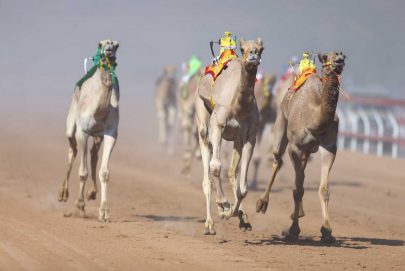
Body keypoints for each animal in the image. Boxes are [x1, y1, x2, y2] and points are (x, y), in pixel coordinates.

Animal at [58, 40, 120, 223]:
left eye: (117, 45)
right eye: (100, 44)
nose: (108, 50)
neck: (99, 110)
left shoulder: (111, 133)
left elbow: (105, 172)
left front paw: (104, 212)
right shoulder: (83, 132)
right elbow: (82, 172)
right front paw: (80, 205)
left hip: (98, 135)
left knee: (93, 154)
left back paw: (92, 193)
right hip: (72, 123)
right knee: (72, 151)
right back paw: (63, 194)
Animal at [195, 38, 264, 236]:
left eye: (261, 49)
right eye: (242, 48)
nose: (253, 55)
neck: (238, 107)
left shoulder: (250, 136)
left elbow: (243, 187)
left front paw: (234, 212)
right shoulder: (218, 125)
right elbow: (216, 167)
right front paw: (224, 206)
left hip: (237, 140)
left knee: (232, 173)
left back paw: (242, 217)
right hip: (203, 116)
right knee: (208, 172)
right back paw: (209, 224)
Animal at [258, 51, 346, 244]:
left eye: (343, 55)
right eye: (326, 57)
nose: (339, 59)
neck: (315, 120)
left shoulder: (329, 147)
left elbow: (323, 189)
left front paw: (327, 231)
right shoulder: (295, 146)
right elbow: (298, 190)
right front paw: (293, 230)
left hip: (308, 150)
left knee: (301, 174)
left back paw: (297, 213)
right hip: (281, 122)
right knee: (278, 160)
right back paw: (262, 203)